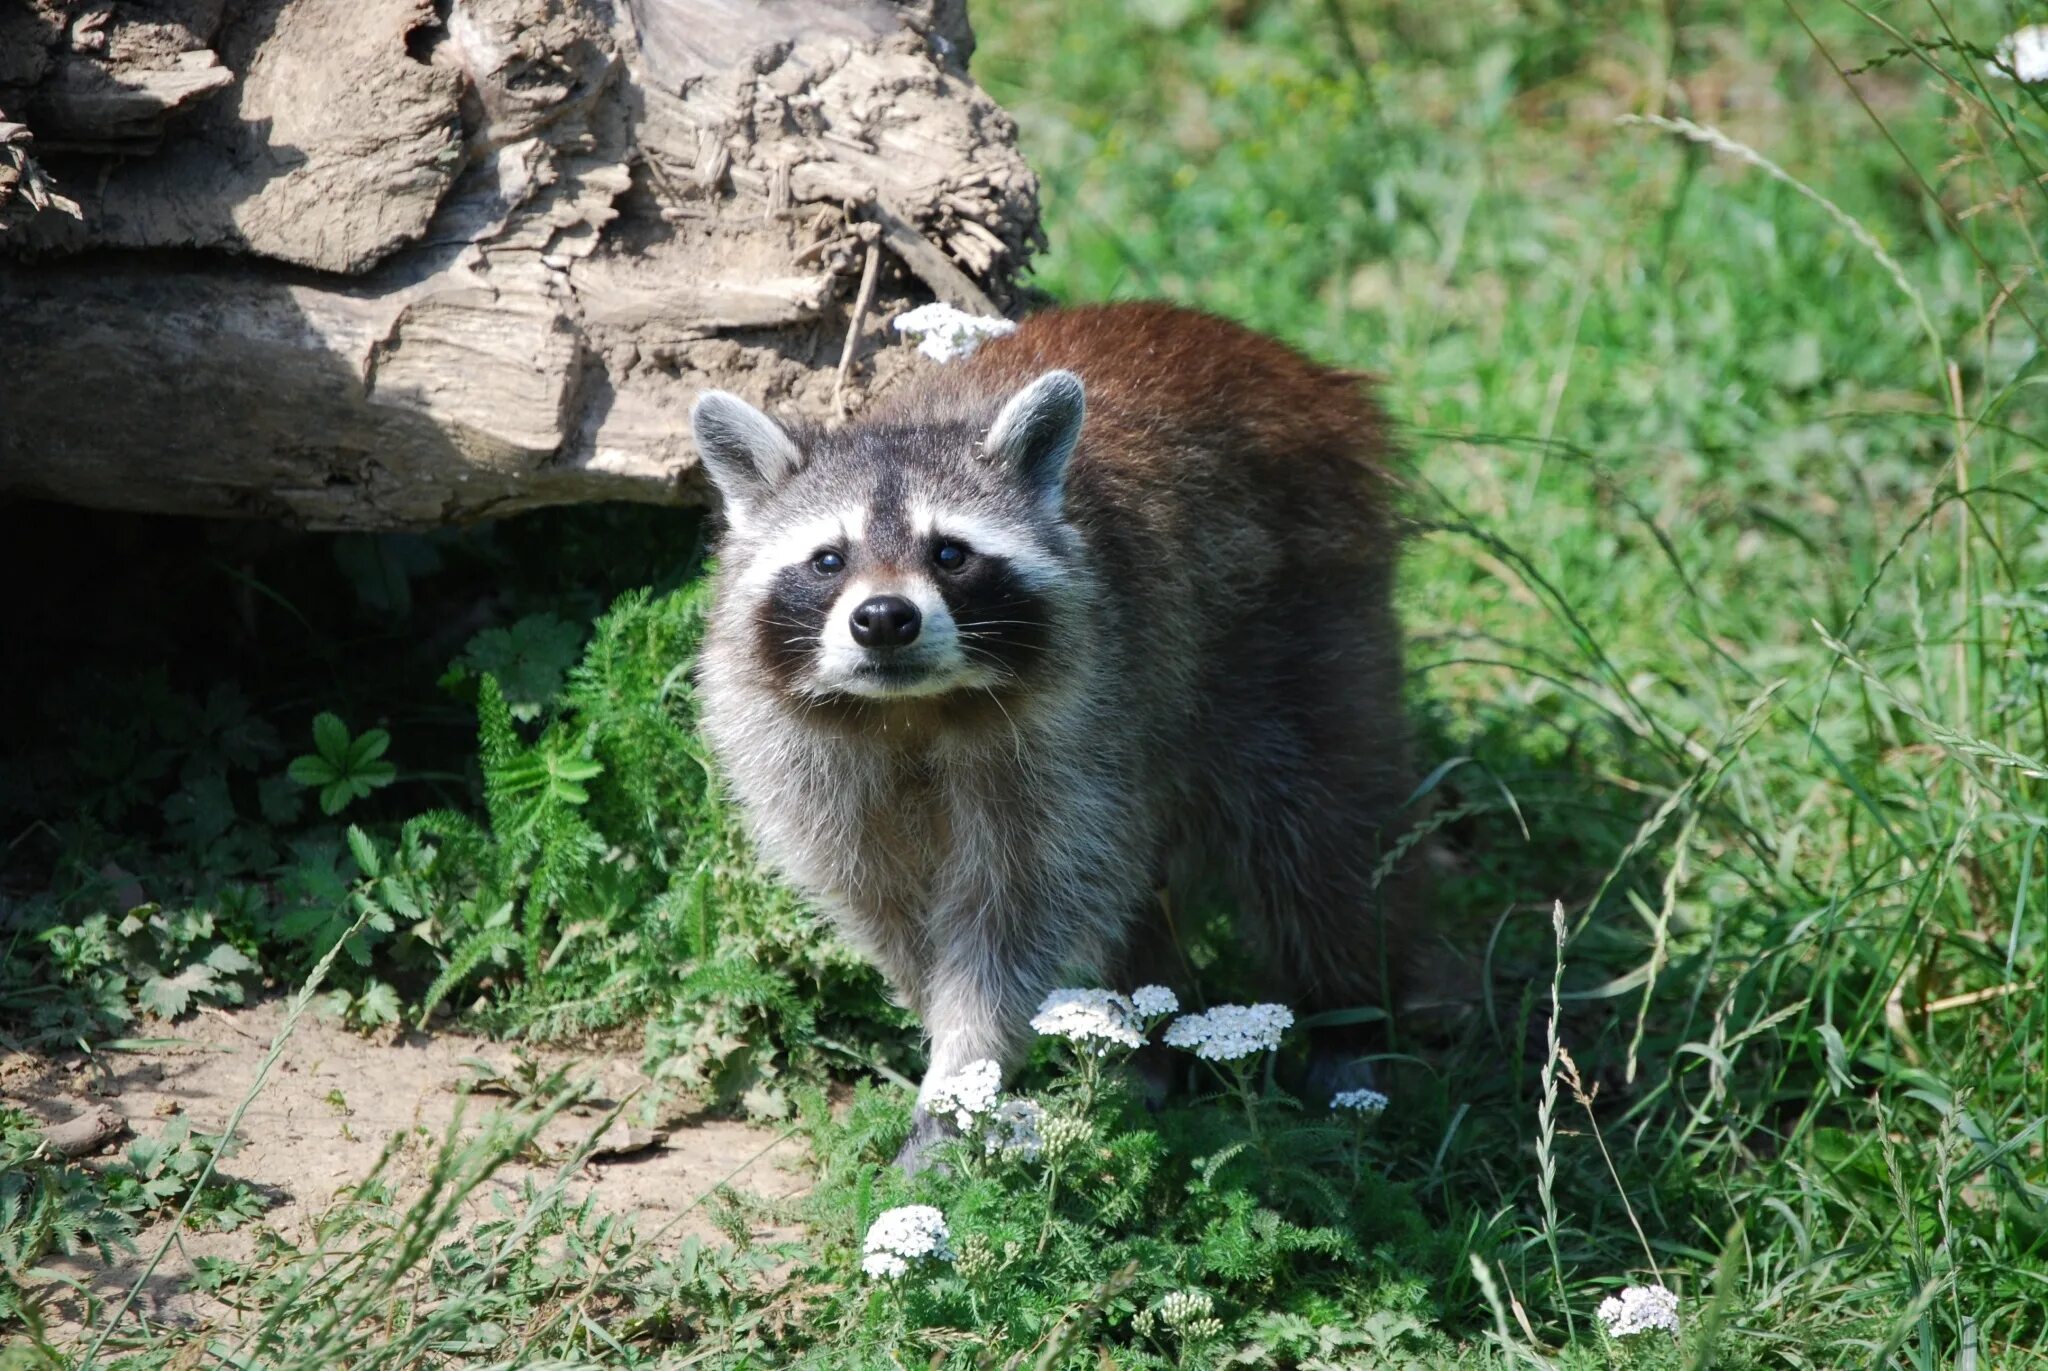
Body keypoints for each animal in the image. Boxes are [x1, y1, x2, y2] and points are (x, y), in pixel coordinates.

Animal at [696, 305, 1417, 1164]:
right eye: (828, 559)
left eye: (950, 553)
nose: (884, 619)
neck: (916, 708)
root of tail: (1288, 362)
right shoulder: (807, 757)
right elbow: (889, 902)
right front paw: (944, 1032)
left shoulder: (1076, 718)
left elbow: (1024, 908)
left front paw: (964, 1069)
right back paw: (1147, 1039)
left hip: (1305, 618)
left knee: (1316, 837)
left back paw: (1348, 1018)